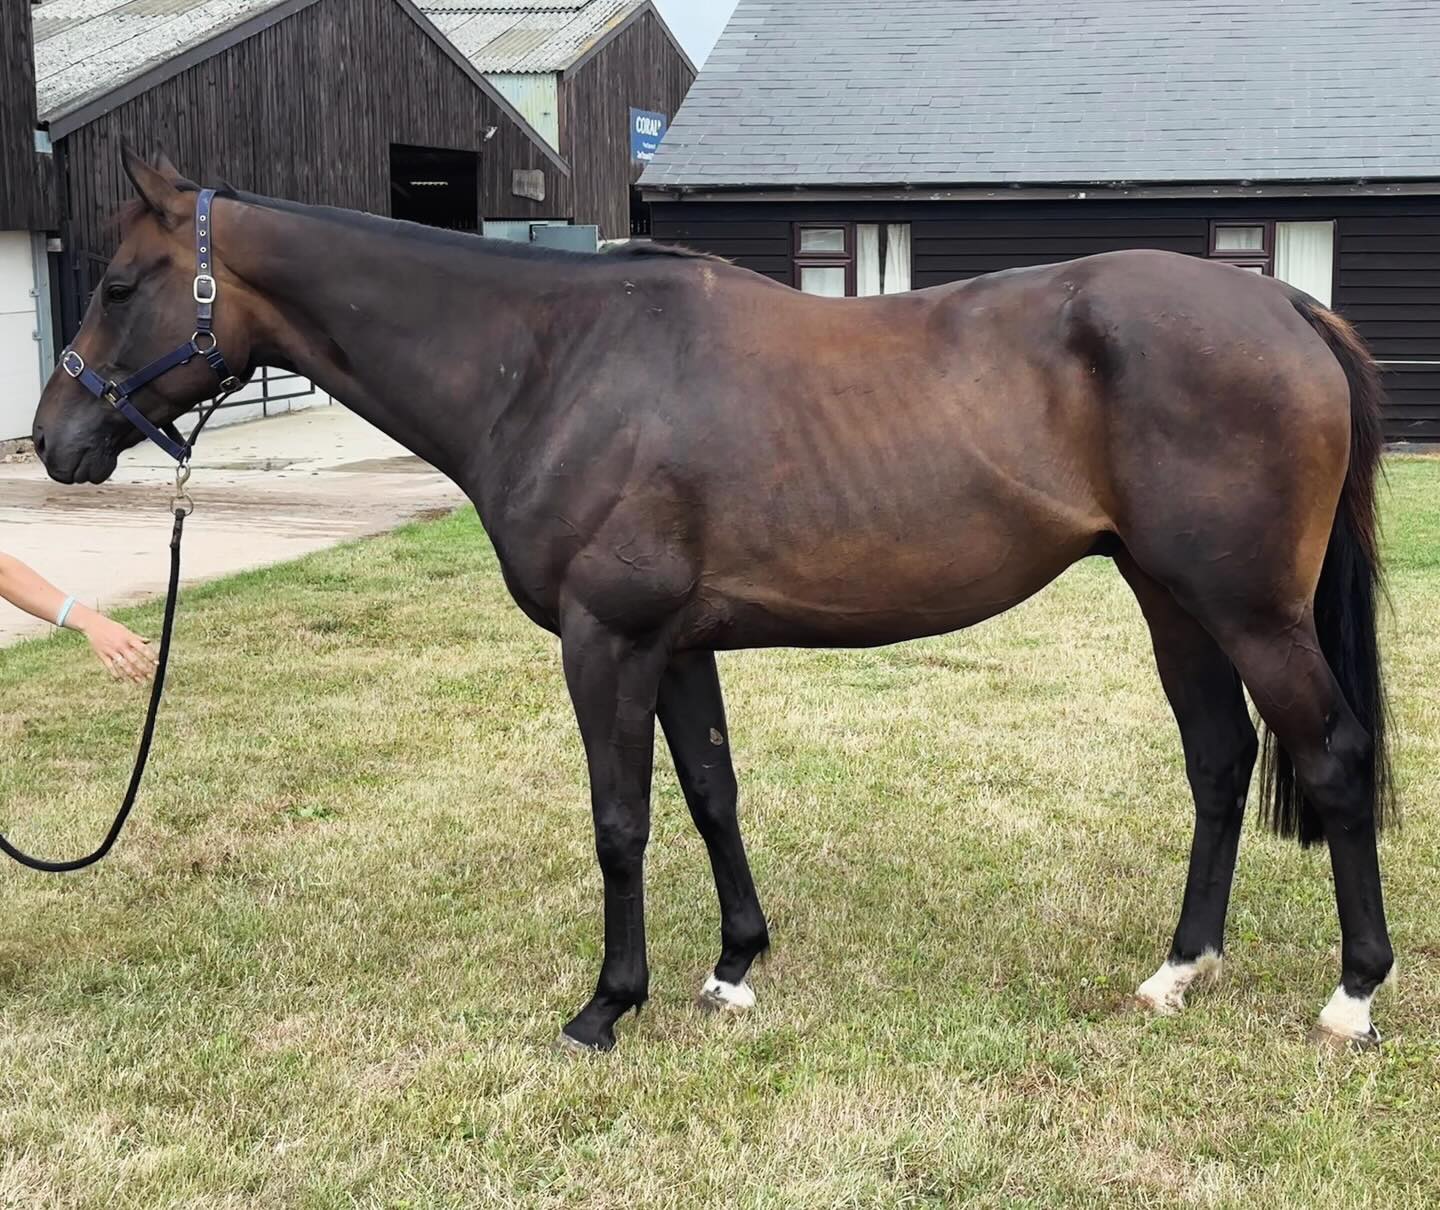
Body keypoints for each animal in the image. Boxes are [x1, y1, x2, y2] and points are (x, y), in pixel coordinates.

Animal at [30, 149, 1396, 1052]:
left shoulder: (606, 640)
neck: (555, 362)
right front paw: (736, 966)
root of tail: (1282, 300)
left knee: (1330, 756)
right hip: (1173, 601)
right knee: (1219, 762)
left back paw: (1352, 995)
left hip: (1251, 612)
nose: (55, 440)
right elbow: (709, 791)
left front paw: (606, 1004)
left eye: (120, 284)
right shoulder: (677, 645)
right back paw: (1177, 972)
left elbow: (620, 819)